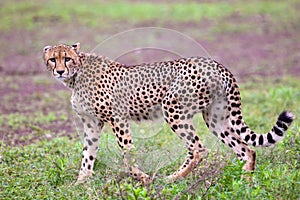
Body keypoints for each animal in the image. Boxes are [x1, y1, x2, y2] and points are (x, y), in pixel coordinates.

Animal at [42, 43, 296, 185]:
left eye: (67, 58)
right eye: (53, 59)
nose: (60, 71)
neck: (77, 74)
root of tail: (216, 64)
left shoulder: (118, 118)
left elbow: (127, 154)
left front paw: (142, 178)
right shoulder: (92, 124)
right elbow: (87, 155)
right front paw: (80, 183)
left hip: (173, 108)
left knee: (198, 149)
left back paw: (173, 178)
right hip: (215, 119)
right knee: (246, 150)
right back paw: (245, 183)